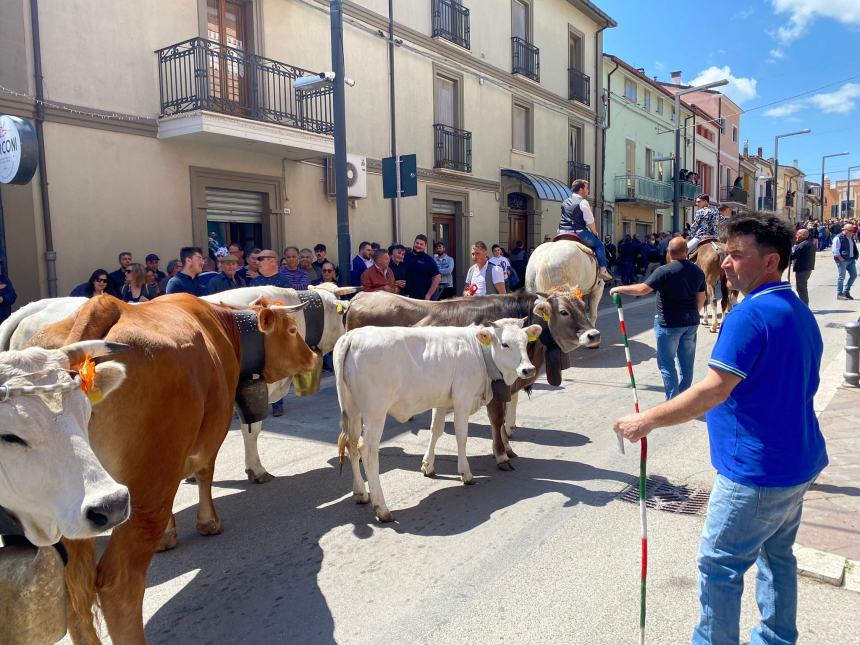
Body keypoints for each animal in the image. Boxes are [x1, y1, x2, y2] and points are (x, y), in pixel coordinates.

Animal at [30, 294, 320, 640]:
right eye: (291, 330)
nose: (314, 356)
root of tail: (102, 304)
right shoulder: (212, 428)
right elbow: (205, 472)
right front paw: (208, 522)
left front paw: (169, 535)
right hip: (147, 482)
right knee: (118, 583)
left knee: (73, 597)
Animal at [332, 318, 540, 524]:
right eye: (505, 344)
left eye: (525, 342)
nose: (528, 369)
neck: (479, 353)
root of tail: (353, 336)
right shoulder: (462, 400)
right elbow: (461, 437)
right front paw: (466, 473)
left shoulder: (441, 401)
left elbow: (436, 430)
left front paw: (428, 466)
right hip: (375, 412)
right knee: (367, 451)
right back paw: (382, 508)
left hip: (352, 409)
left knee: (351, 445)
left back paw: (361, 493)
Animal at [342, 292, 596, 468]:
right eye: (563, 311)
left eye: (583, 307)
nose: (594, 334)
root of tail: (360, 297)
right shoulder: (494, 385)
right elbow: (497, 419)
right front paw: (501, 454)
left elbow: (503, 419)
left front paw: (508, 448)